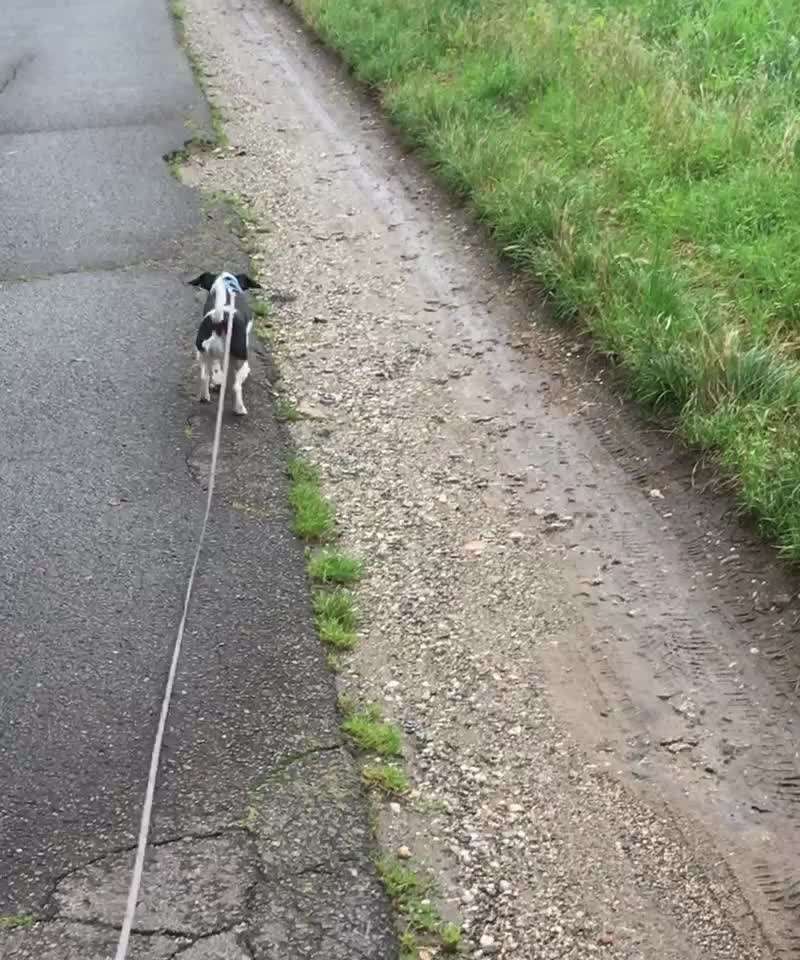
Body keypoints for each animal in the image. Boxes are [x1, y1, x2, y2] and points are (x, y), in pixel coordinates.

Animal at [188, 272, 260, 418]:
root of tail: (219, 319)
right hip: (238, 357)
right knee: (236, 386)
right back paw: (239, 408)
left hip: (202, 354)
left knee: (204, 377)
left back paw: (205, 396)